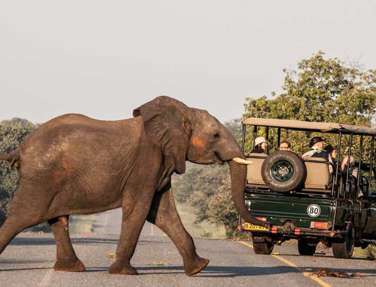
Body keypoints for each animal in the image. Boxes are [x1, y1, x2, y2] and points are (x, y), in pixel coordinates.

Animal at [1, 96, 268, 276]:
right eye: (215, 136)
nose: (265, 222)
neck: (179, 114)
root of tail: (21, 148)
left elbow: (163, 213)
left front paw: (199, 268)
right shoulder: (146, 162)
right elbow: (140, 208)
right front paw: (124, 273)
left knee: (58, 219)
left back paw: (73, 269)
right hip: (41, 178)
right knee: (23, 216)